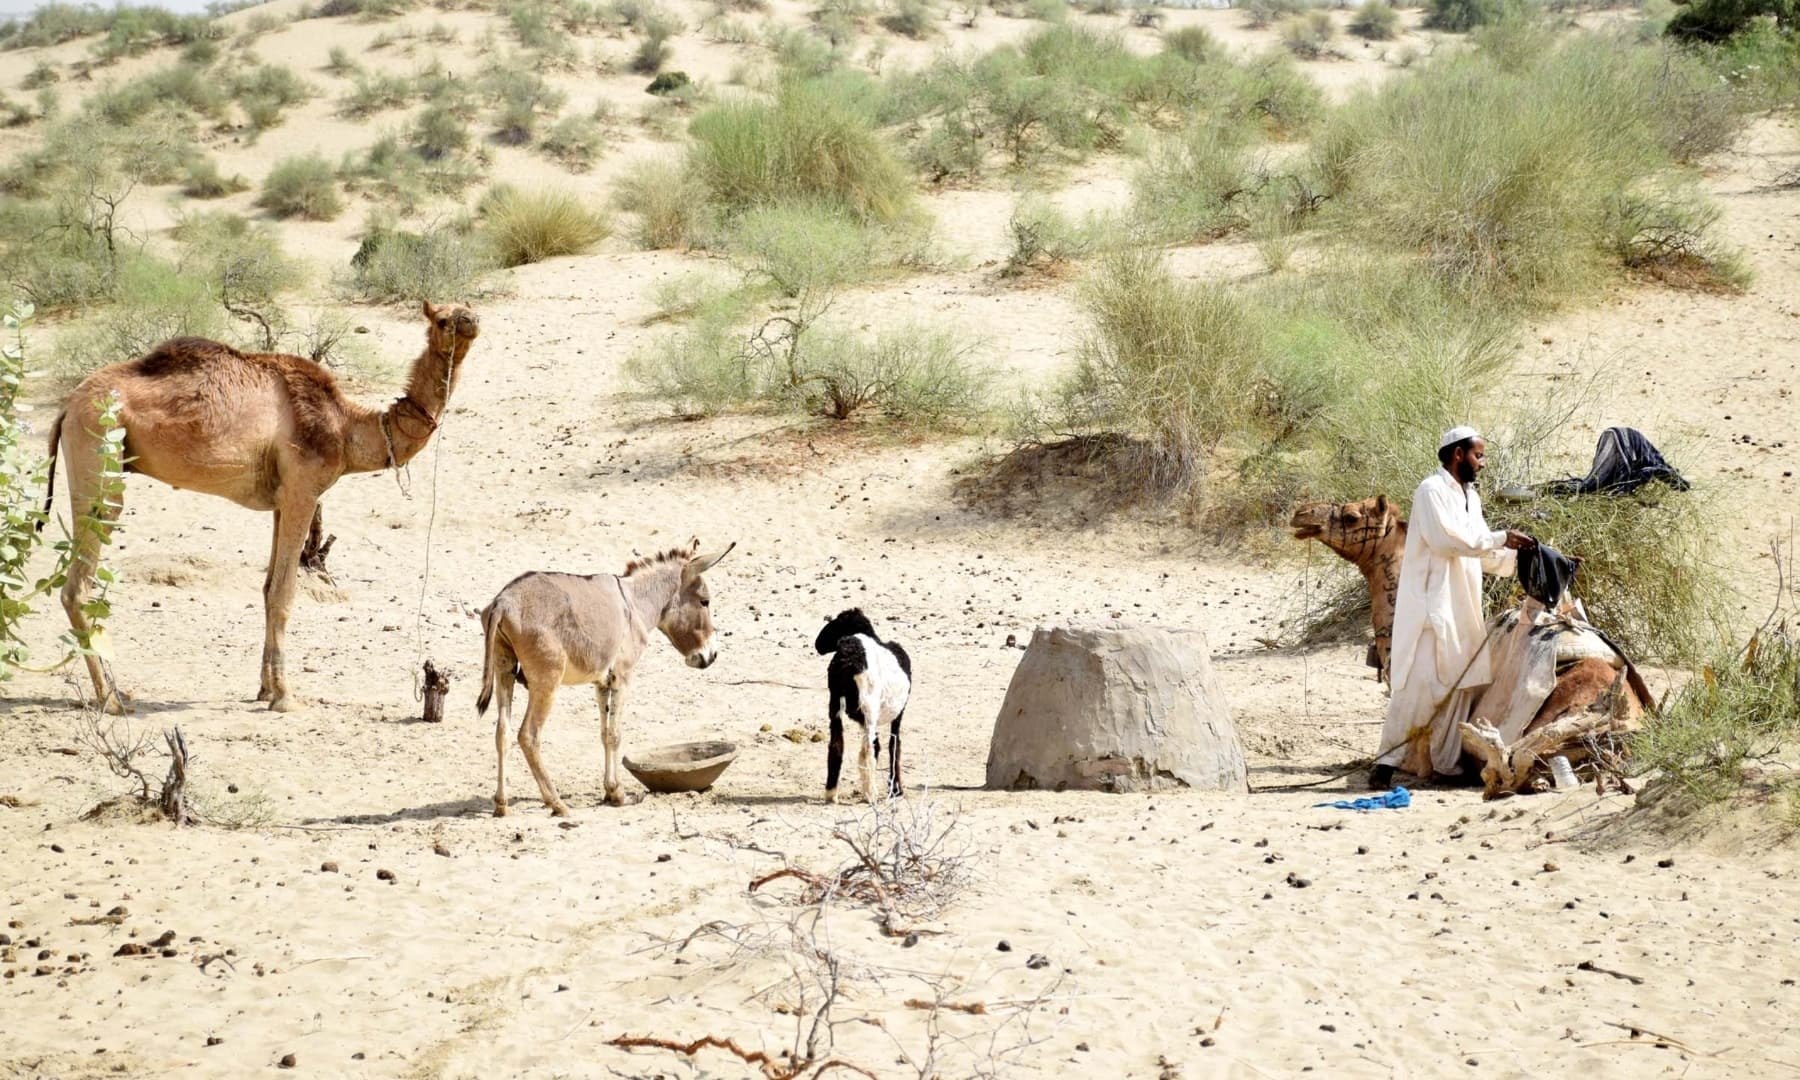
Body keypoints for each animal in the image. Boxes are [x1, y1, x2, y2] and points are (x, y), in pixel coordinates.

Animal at [48, 298, 482, 712]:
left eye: (467, 310)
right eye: (442, 319)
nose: (472, 321)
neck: (347, 429)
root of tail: (67, 406)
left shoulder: (280, 499)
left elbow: (268, 586)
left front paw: (264, 688)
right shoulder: (303, 491)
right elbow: (284, 593)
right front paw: (285, 696)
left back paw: (117, 691)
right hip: (98, 449)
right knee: (77, 583)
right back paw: (110, 697)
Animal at [817, 608, 914, 802]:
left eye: (836, 624)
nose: (818, 645)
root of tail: (849, 660)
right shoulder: (898, 712)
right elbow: (894, 745)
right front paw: (896, 789)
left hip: (835, 703)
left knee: (837, 745)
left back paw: (831, 793)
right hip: (870, 706)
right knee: (867, 749)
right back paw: (871, 794)